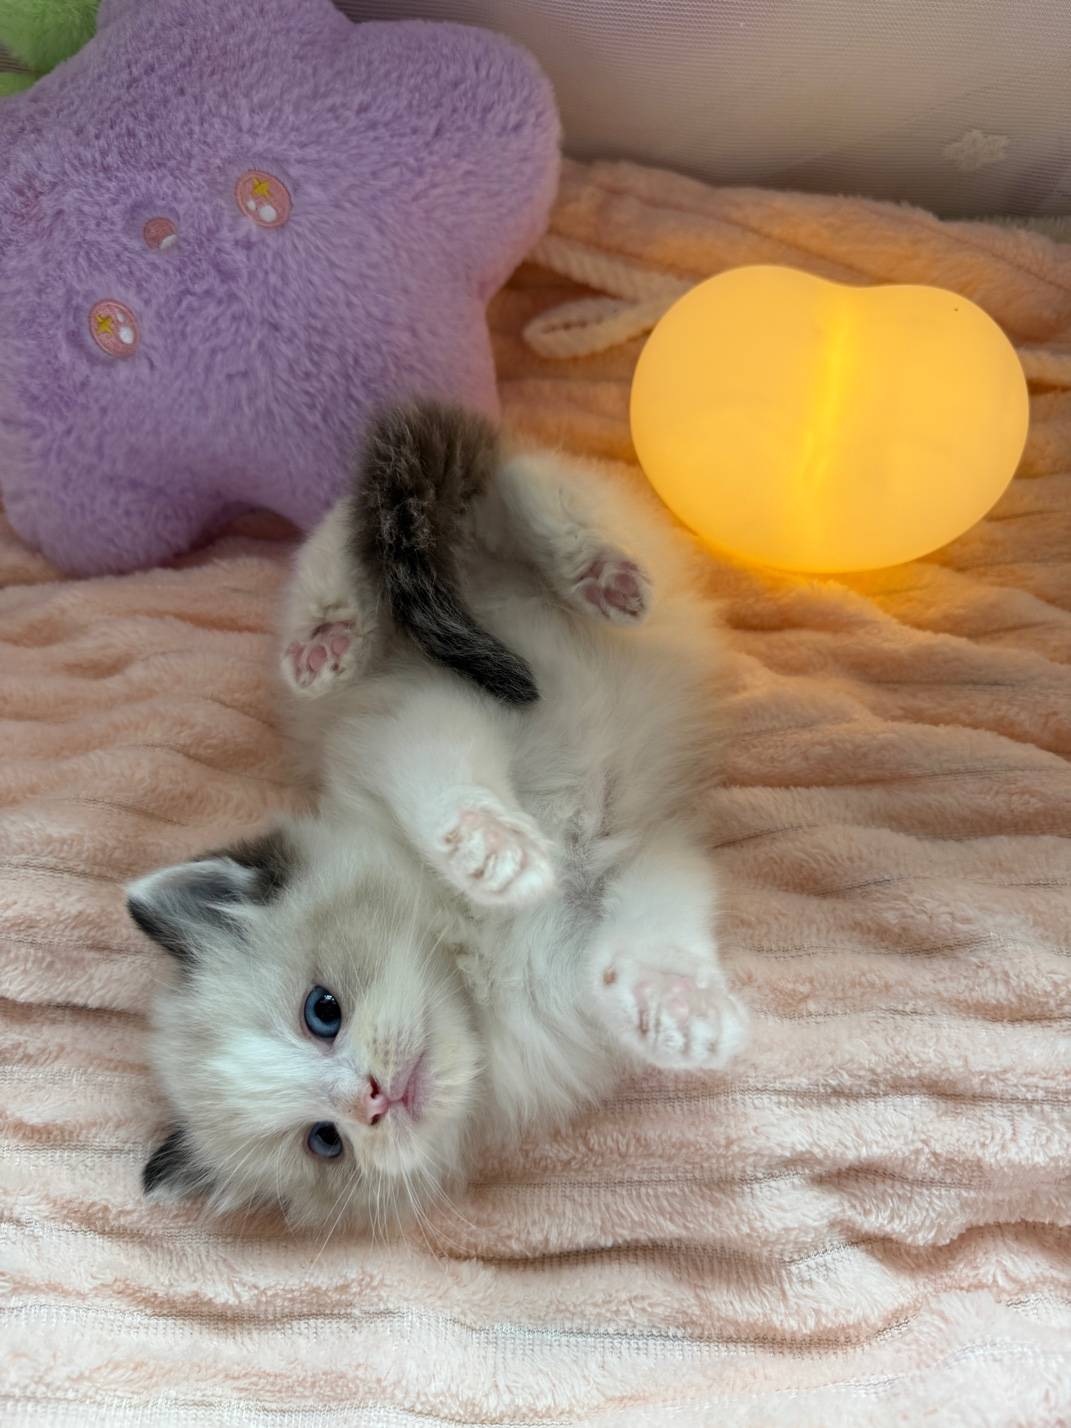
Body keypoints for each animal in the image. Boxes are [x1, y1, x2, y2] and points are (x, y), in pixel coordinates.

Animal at [127, 402, 748, 1229]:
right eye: (325, 1142)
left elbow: (444, 783)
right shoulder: (638, 875)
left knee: (486, 495)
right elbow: (650, 936)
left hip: (524, 540)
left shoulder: (427, 713)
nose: (374, 1100)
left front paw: (496, 857)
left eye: (321, 1011)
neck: (472, 961)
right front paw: (678, 1013)